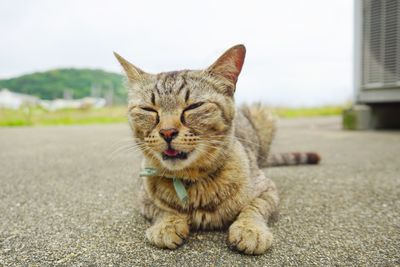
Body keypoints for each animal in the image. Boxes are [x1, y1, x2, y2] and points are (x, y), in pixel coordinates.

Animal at [114, 45, 320, 256]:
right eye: (148, 109)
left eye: (194, 106)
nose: (167, 132)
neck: (193, 182)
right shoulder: (143, 199)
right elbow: (162, 209)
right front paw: (167, 224)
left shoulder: (267, 189)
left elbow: (254, 207)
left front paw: (250, 229)